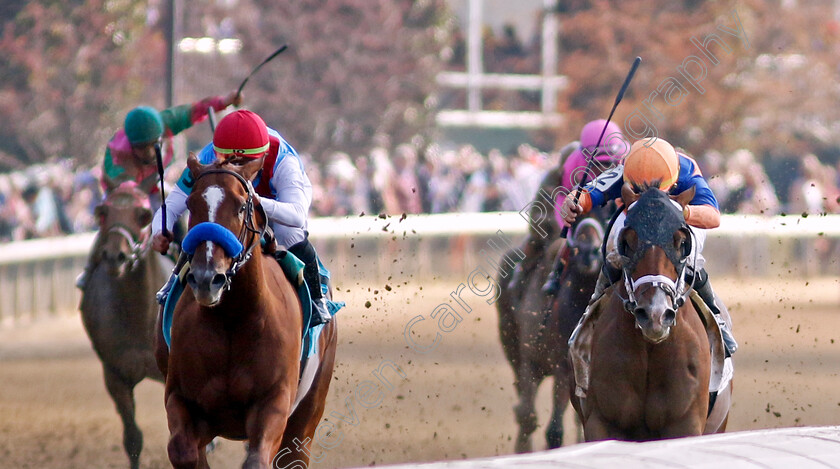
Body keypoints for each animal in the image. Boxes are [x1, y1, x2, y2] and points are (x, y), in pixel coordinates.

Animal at [156, 154, 340, 468]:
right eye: (191, 204)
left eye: (242, 205)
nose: (206, 278)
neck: (233, 319)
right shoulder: (180, 398)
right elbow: (183, 451)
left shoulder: (274, 402)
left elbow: (257, 460)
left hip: (309, 408)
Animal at [576, 185, 732, 440]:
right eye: (627, 242)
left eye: (681, 242)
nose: (655, 315)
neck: (651, 348)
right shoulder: (602, 422)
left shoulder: (685, 424)